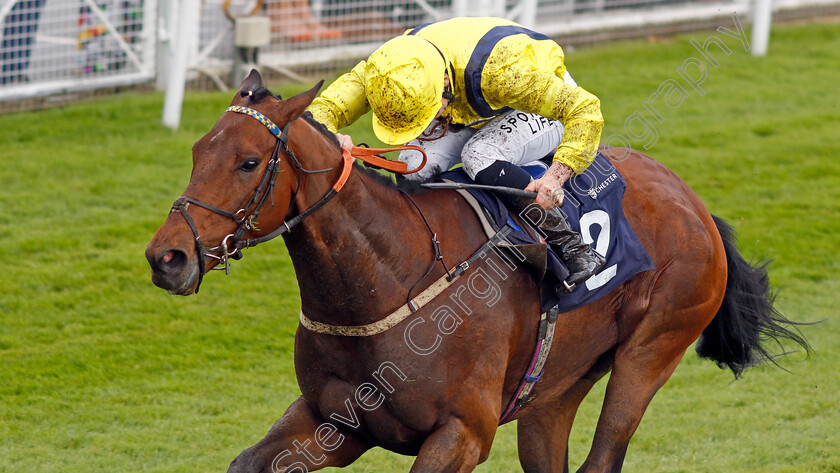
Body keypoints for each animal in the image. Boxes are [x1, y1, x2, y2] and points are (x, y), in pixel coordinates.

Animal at [144, 71, 808, 472]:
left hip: (652, 350)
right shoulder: (333, 421)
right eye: (198, 151)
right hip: (554, 389)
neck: (389, 280)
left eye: (248, 161)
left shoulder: (461, 433)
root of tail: (695, 204)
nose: (166, 257)